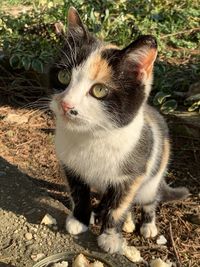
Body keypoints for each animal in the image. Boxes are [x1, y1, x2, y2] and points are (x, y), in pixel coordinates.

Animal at [48, 7, 189, 255]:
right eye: (63, 77)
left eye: (99, 90)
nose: (66, 104)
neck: (92, 138)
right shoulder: (71, 166)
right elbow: (79, 193)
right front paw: (80, 219)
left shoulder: (132, 175)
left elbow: (118, 205)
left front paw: (110, 237)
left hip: (152, 176)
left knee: (148, 199)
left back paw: (147, 224)